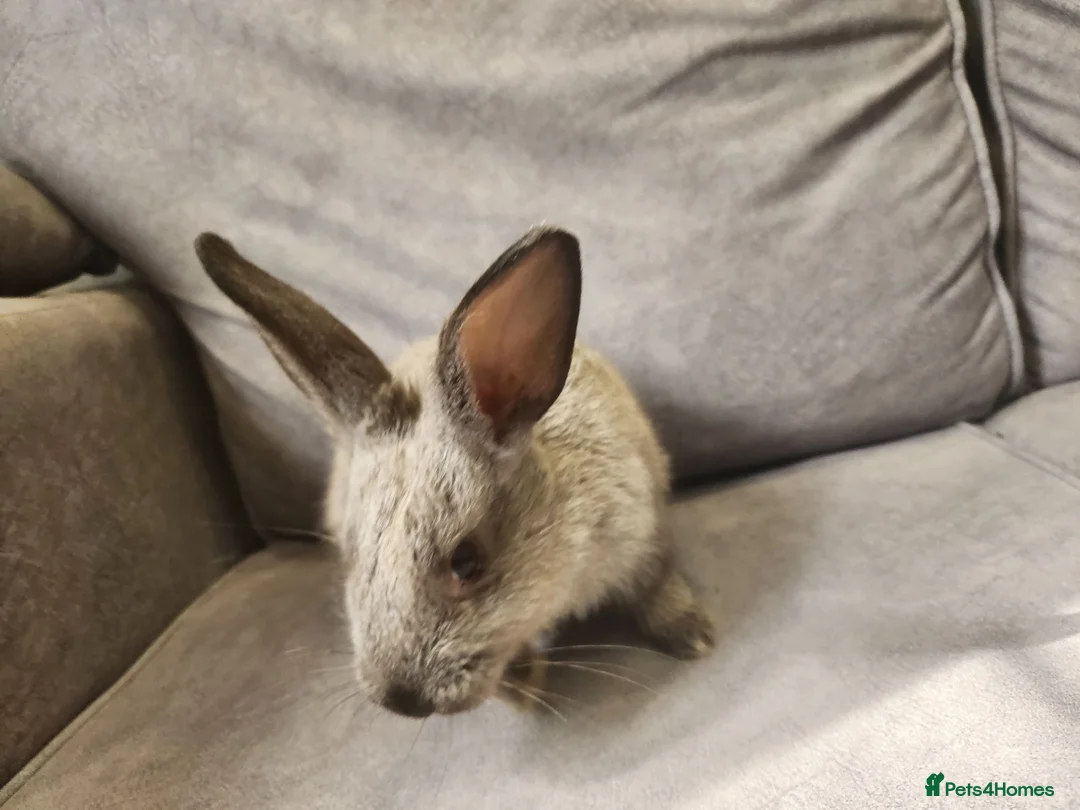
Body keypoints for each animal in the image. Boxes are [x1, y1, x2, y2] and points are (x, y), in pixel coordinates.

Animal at [194, 226, 714, 719]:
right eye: (350, 560)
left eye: (467, 562)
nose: (400, 701)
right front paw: (523, 687)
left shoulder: (644, 533)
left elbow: (658, 589)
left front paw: (695, 639)